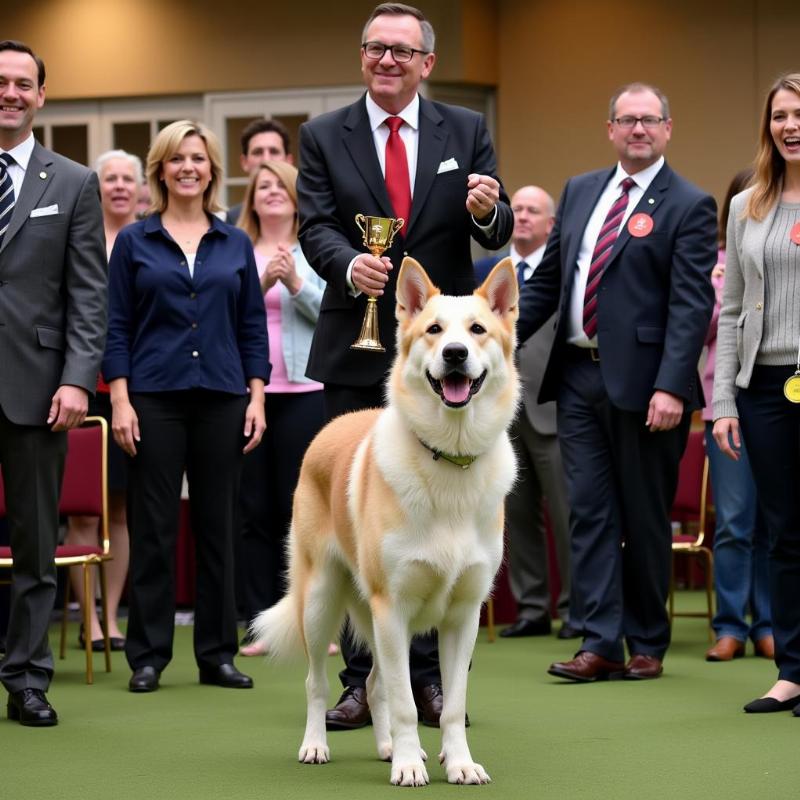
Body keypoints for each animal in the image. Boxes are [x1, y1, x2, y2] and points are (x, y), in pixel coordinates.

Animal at [253, 258, 520, 788]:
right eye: (434, 330)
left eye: (477, 330)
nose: (455, 354)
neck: (448, 458)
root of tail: (334, 425)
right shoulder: (391, 608)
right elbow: (404, 703)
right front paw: (410, 767)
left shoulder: (463, 617)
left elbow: (449, 704)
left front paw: (457, 764)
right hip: (321, 601)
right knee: (318, 683)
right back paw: (318, 746)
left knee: (376, 683)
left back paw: (387, 748)